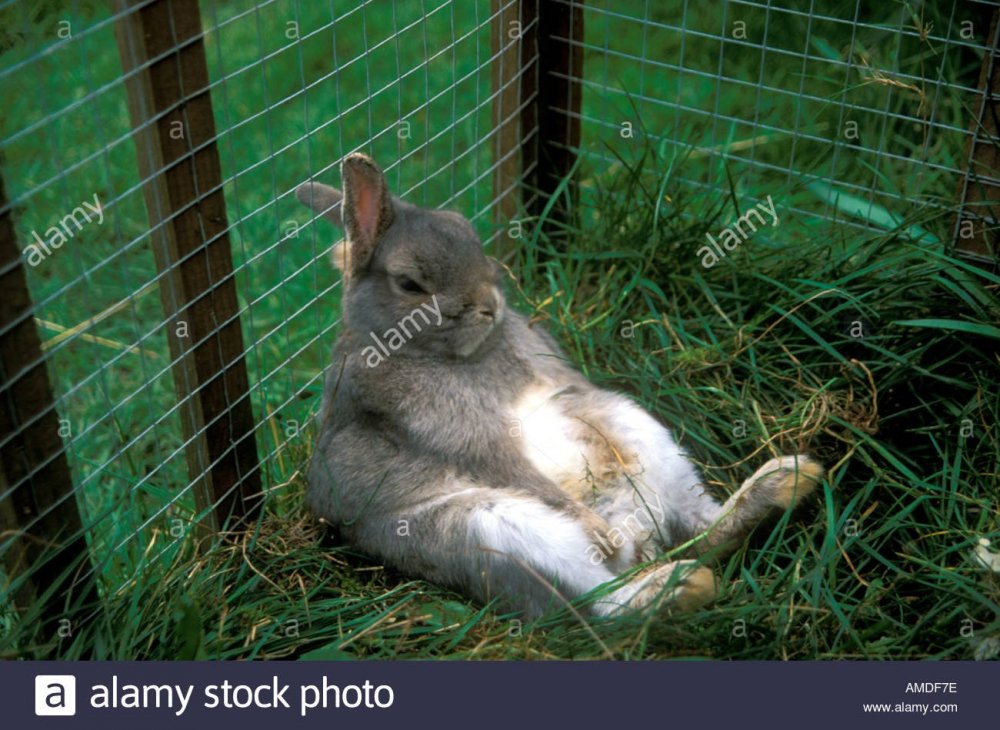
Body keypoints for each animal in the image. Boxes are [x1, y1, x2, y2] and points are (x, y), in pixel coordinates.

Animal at [292, 152, 824, 616]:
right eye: (409, 284)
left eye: (466, 231)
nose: (489, 306)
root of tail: (644, 539)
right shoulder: (466, 440)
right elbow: (511, 468)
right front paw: (598, 532)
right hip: (494, 530)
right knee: (604, 604)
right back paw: (671, 580)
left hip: (632, 427)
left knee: (703, 530)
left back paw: (785, 481)